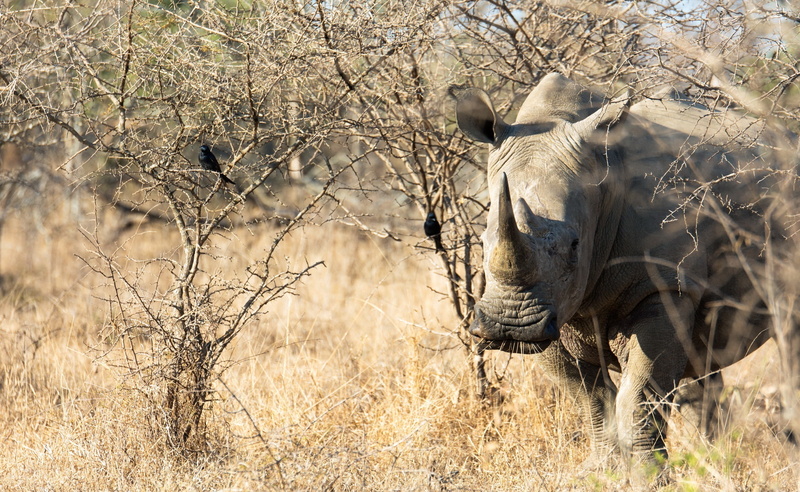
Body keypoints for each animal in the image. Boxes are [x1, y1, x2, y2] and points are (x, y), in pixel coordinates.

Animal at [454, 74, 798, 470]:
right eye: (482, 241)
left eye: (575, 245)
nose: (510, 326)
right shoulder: (551, 312)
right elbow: (589, 397)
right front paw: (601, 470)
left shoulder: (663, 286)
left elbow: (638, 397)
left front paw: (649, 474)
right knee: (701, 359)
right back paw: (713, 460)